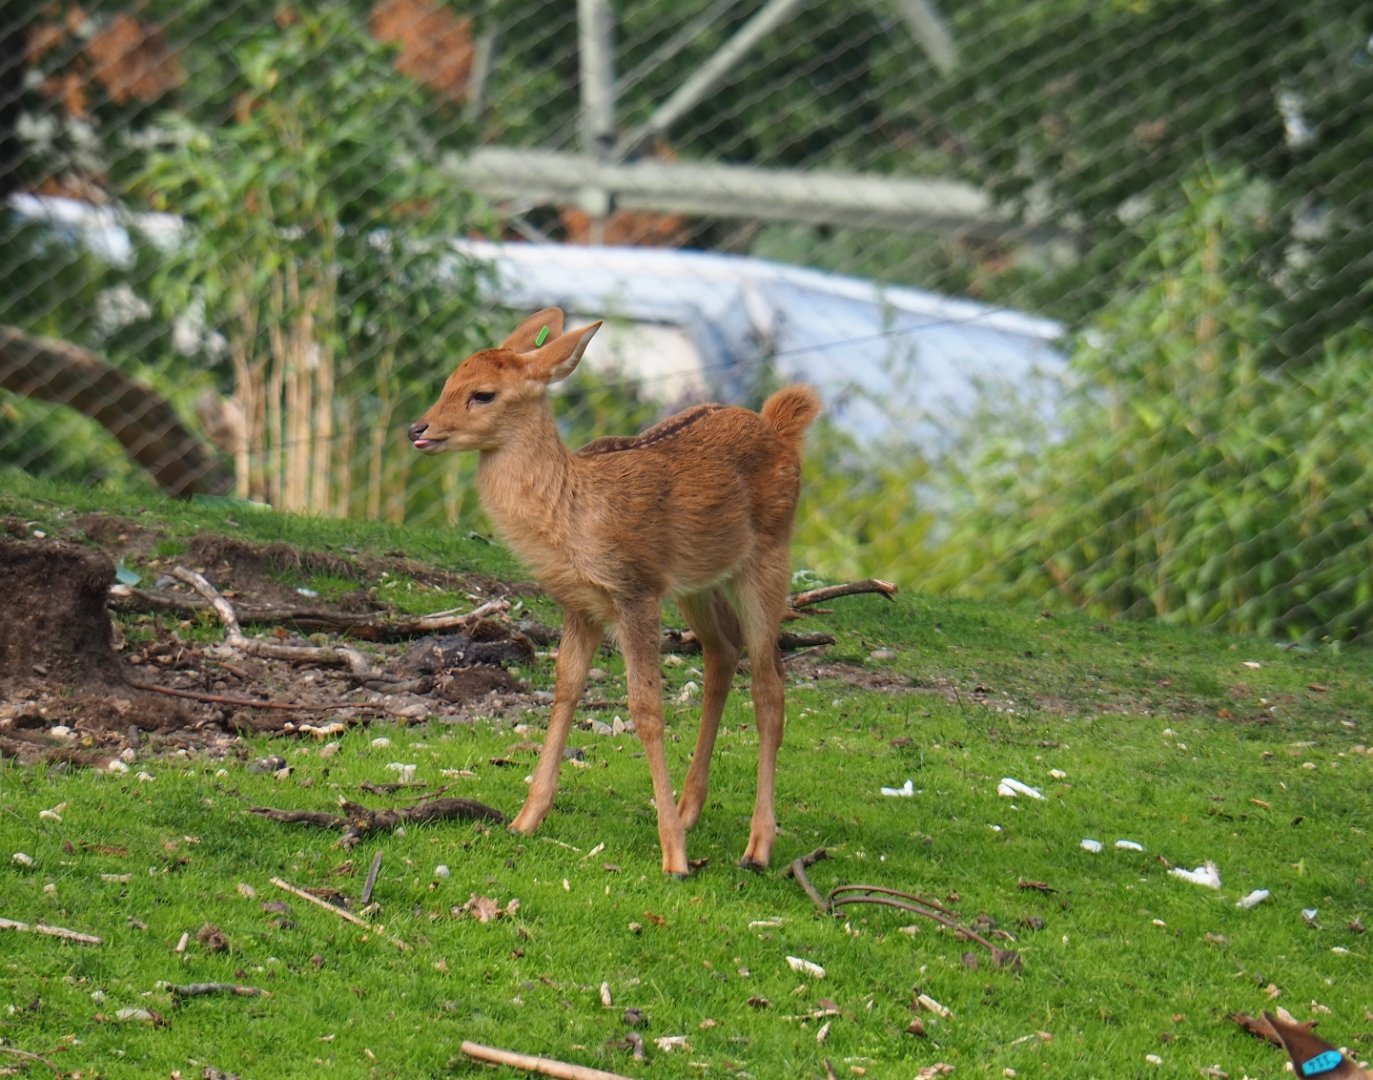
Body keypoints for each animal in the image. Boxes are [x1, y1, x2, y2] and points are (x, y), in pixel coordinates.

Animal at [409, 308, 820, 877]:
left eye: (483, 394)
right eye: (449, 381)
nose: (417, 429)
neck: (572, 516)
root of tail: (781, 426)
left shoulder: (635, 590)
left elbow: (646, 710)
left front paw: (674, 857)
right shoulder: (580, 604)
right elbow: (565, 689)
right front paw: (525, 818)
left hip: (768, 559)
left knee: (770, 684)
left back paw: (757, 846)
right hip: (698, 583)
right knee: (722, 653)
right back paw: (691, 808)